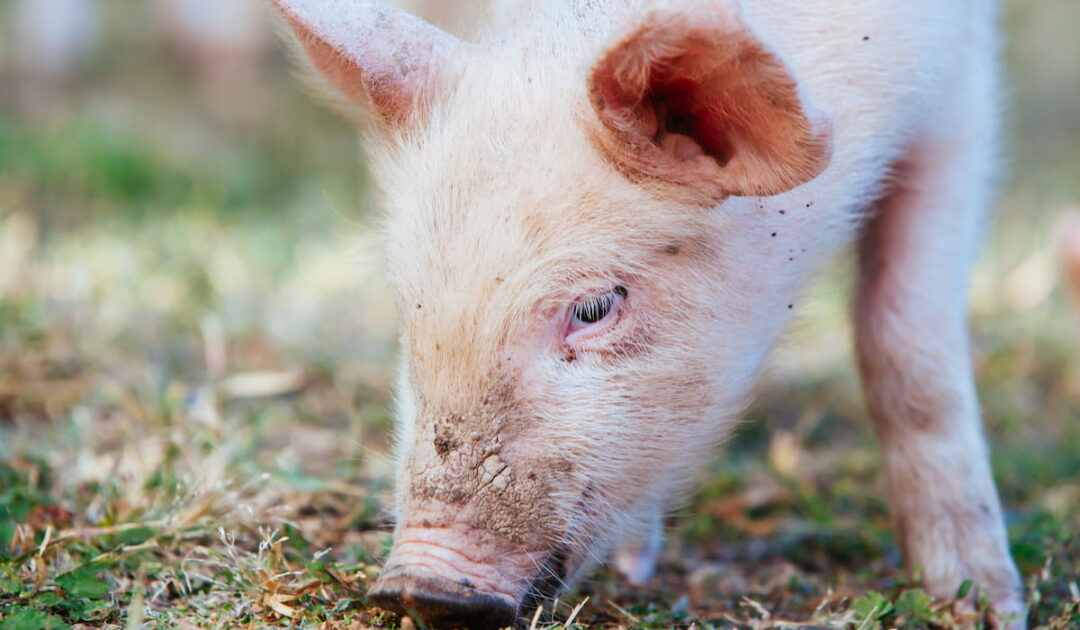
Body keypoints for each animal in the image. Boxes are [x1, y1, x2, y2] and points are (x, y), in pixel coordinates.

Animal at [271, 0, 1025, 627]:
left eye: (594, 306)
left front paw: (980, 607)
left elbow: (907, 345)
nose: (419, 586)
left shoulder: (960, 92)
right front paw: (636, 567)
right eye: (411, 306)